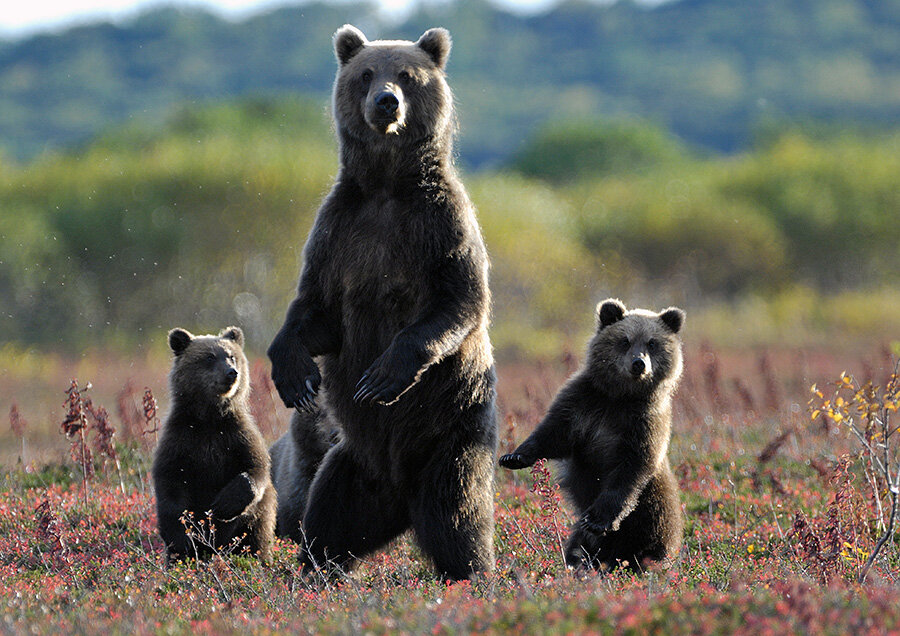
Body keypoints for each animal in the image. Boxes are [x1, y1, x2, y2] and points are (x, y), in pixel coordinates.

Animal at [153, 328, 276, 560]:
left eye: (232, 356)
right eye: (209, 357)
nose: (231, 373)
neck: (210, 417)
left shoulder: (237, 435)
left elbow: (256, 468)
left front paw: (224, 504)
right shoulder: (181, 439)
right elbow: (169, 483)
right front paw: (181, 538)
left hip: (253, 523)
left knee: (255, 536)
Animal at [268, 26, 500, 580]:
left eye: (408, 75)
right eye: (366, 73)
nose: (386, 102)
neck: (387, 186)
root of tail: (400, 499)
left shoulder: (439, 225)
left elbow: (458, 302)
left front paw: (382, 375)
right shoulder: (340, 231)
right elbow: (316, 310)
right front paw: (295, 374)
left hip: (451, 432)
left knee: (457, 516)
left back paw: (475, 574)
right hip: (354, 465)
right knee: (330, 519)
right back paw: (313, 571)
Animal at [500, 300, 684, 572]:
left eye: (652, 343)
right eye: (625, 340)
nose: (638, 363)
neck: (620, 396)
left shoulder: (643, 423)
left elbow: (629, 471)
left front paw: (597, 520)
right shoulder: (583, 403)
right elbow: (553, 434)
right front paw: (514, 456)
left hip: (655, 513)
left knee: (648, 541)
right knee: (578, 545)